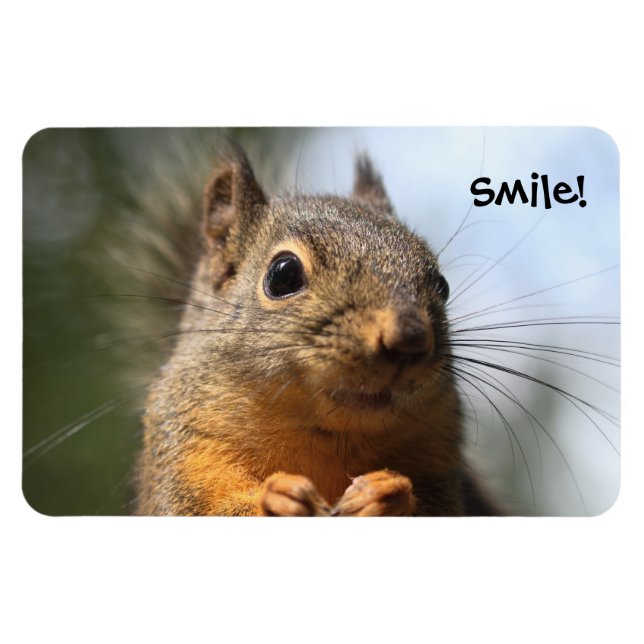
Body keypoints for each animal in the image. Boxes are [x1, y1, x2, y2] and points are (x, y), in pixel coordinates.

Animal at [134, 143, 499, 516]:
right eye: (283, 275)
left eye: (442, 286)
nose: (409, 338)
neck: (330, 438)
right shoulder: (186, 456)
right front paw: (276, 497)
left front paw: (385, 493)